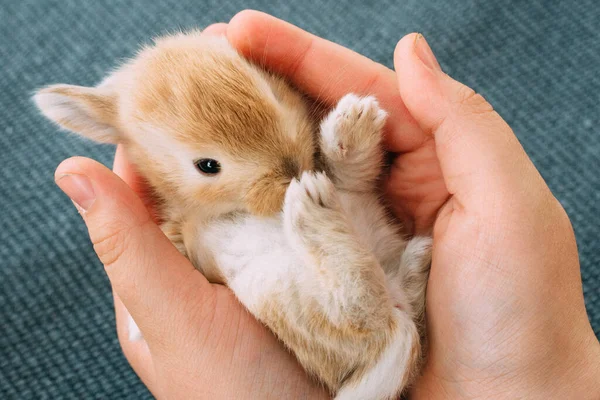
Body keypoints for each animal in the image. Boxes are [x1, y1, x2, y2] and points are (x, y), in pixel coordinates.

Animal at [34, 32, 432, 400]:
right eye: (207, 166)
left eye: (271, 92)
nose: (292, 171)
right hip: (282, 292)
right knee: (360, 309)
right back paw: (315, 209)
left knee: (353, 187)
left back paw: (352, 130)